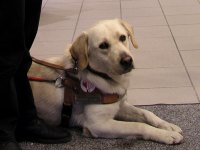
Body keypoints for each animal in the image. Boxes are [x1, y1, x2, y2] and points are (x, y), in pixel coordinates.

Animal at [28, 18, 184, 144]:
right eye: (103, 45)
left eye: (123, 37)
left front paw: (167, 126)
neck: (104, 77)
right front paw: (166, 135)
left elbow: (146, 113)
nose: (127, 60)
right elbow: (138, 125)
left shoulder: (119, 105)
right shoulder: (98, 124)